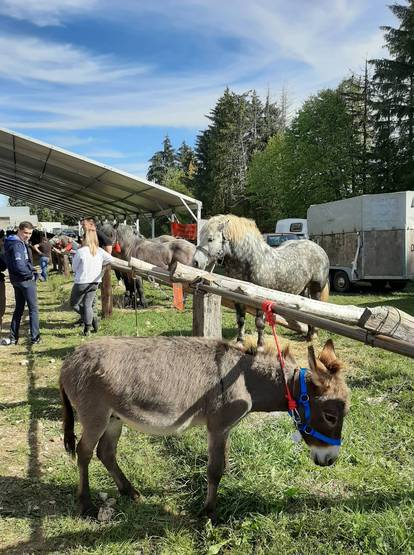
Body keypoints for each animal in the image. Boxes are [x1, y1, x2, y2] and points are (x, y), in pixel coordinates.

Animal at [59, 336, 348, 524]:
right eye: (331, 416)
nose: (329, 460)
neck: (246, 379)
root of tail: (69, 360)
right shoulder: (218, 427)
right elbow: (215, 470)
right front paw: (208, 512)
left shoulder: (225, 429)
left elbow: (221, 466)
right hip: (95, 416)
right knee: (84, 452)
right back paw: (86, 504)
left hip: (114, 419)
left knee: (106, 453)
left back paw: (129, 491)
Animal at [192, 215, 330, 346]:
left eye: (210, 239)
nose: (196, 262)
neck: (251, 261)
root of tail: (319, 249)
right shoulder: (237, 298)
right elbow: (240, 320)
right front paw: (240, 341)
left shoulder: (259, 300)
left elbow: (259, 323)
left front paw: (260, 344)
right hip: (302, 290)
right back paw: (308, 334)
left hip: (316, 289)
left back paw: (313, 335)